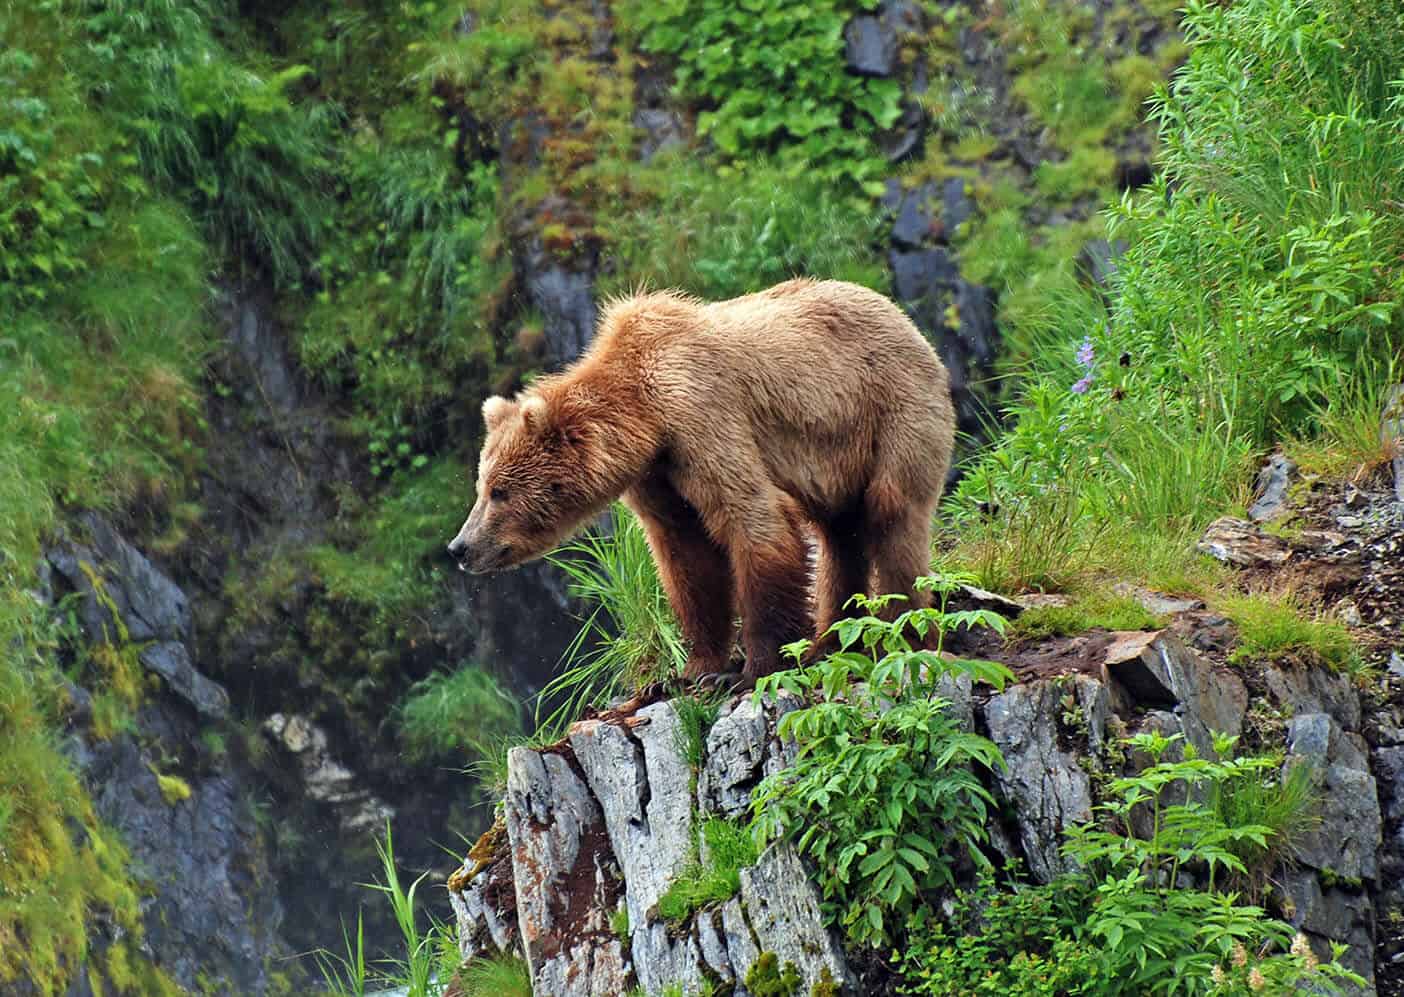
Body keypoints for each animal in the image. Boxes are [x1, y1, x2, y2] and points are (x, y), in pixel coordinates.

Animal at [449, 276, 954, 682]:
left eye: (499, 491)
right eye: (482, 488)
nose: (460, 547)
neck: (645, 418)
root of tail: (903, 318)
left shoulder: (701, 414)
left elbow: (753, 520)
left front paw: (753, 668)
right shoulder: (659, 475)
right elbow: (687, 556)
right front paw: (696, 668)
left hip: (891, 410)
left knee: (892, 514)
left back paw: (905, 632)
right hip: (837, 459)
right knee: (838, 534)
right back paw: (830, 639)